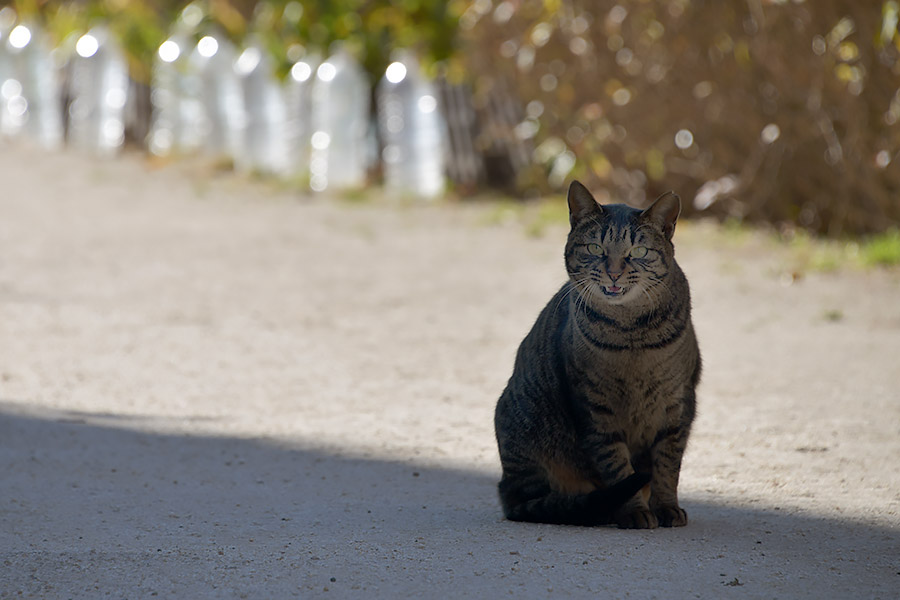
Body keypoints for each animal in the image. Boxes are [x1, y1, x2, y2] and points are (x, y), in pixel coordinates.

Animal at [496, 180, 700, 528]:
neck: (631, 335)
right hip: (524, 427)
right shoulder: (596, 408)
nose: (615, 273)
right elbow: (618, 467)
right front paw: (635, 511)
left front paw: (666, 507)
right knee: (537, 500)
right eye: (595, 249)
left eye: (638, 252)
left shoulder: (678, 404)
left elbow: (667, 466)